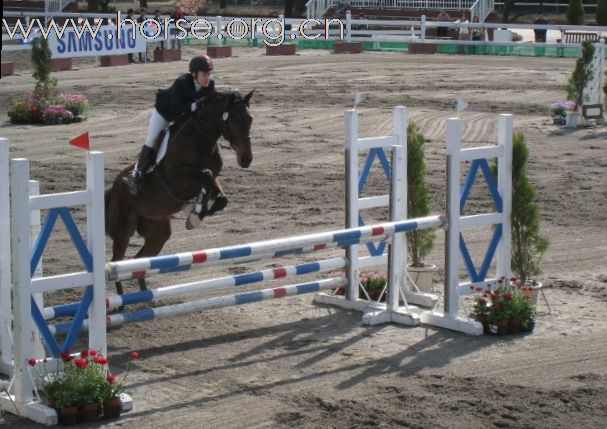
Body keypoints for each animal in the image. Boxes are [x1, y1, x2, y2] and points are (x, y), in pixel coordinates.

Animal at [105, 88, 253, 294]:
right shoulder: (175, 178)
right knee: (116, 262)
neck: (201, 137)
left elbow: (217, 193)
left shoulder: (211, 177)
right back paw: (121, 298)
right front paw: (195, 214)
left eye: (250, 119)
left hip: (158, 232)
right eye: (235, 120)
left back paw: (146, 296)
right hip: (123, 230)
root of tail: (114, 187)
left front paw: (197, 212)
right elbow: (205, 175)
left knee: (139, 260)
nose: (246, 159)